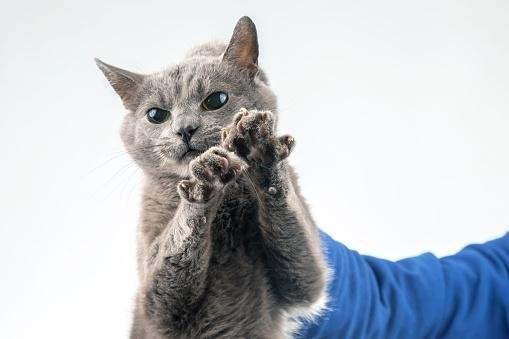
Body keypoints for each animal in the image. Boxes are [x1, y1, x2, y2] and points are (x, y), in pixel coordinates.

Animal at [96, 16, 330, 339]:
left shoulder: (307, 280)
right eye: (156, 115)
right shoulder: (154, 303)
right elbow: (173, 252)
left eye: (216, 100)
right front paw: (204, 179)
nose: (184, 129)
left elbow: (302, 261)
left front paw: (258, 148)